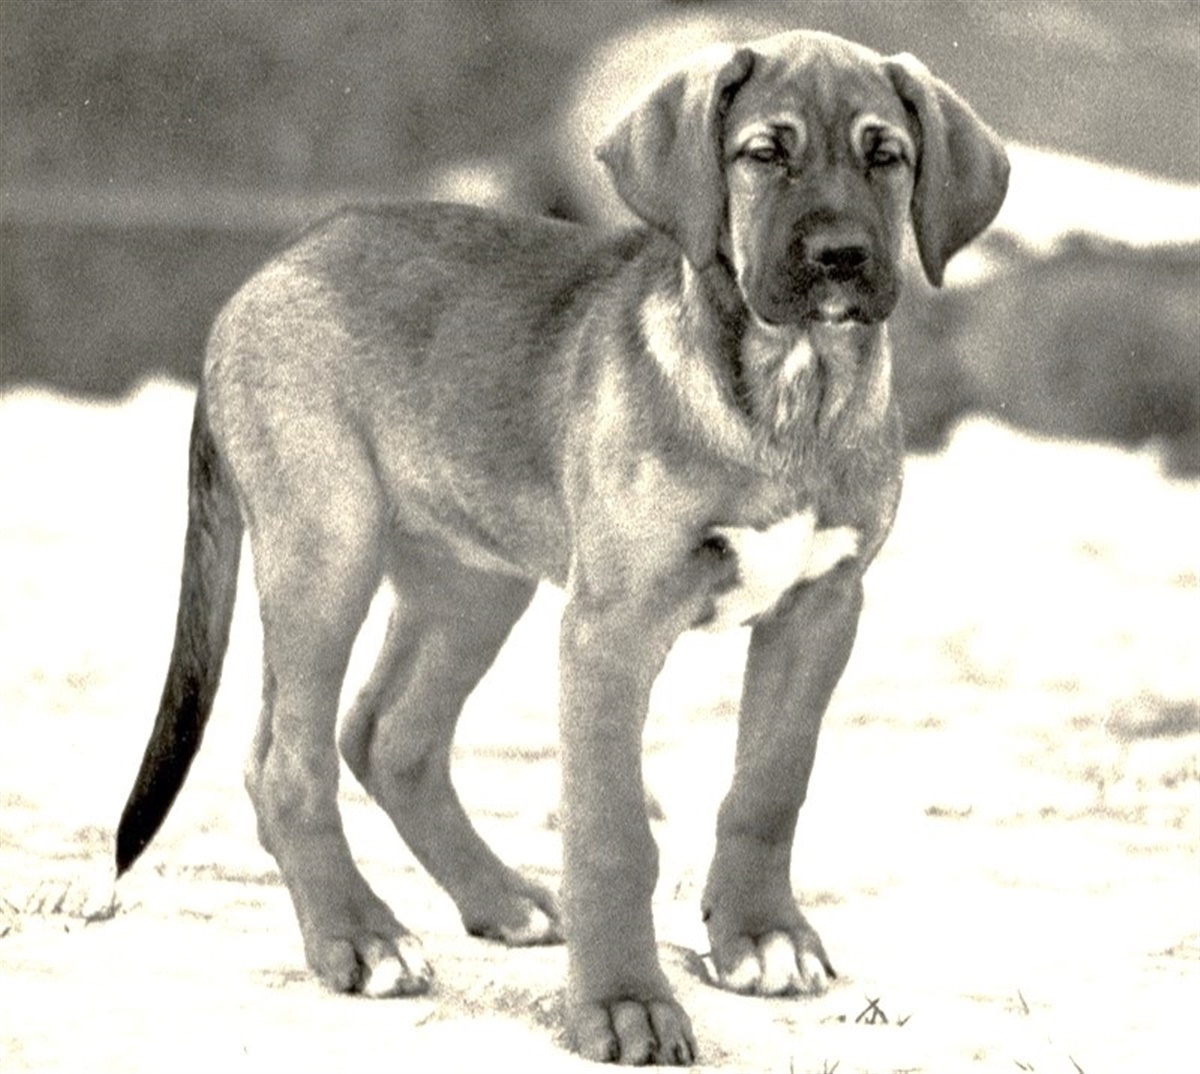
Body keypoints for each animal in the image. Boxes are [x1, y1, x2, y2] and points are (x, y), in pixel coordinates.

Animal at [115, 29, 1008, 1065]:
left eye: (886, 156)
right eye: (763, 153)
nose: (841, 256)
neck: (789, 392)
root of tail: (268, 269)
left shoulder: (823, 605)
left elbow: (769, 786)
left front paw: (759, 939)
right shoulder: (610, 628)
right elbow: (615, 833)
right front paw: (625, 1006)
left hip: (473, 577)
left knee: (389, 734)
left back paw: (499, 901)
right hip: (325, 546)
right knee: (287, 762)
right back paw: (360, 937)